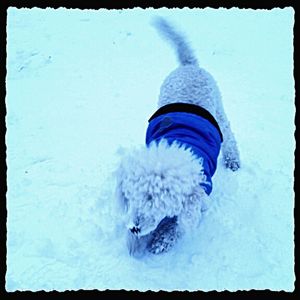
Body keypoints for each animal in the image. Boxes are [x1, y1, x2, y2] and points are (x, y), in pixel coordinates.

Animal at [116, 17, 240, 255]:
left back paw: (233, 160)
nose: (135, 227)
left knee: (229, 136)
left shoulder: (200, 194)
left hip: (219, 112)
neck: (177, 144)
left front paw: (162, 239)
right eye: (132, 196)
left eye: (157, 202)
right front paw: (133, 242)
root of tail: (188, 65)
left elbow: (181, 223)